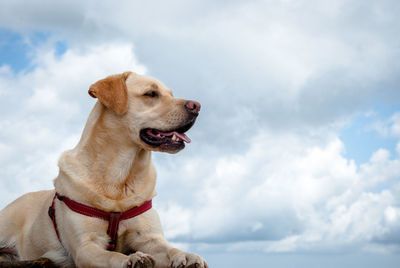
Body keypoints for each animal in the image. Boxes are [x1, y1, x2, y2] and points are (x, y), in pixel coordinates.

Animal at [0, 71, 206, 268]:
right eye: (151, 94)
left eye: (171, 94)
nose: (196, 106)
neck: (119, 178)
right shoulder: (86, 247)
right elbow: (111, 256)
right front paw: (132, 259)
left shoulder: (149, 238)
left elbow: (170, 249)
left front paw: (187, 256)